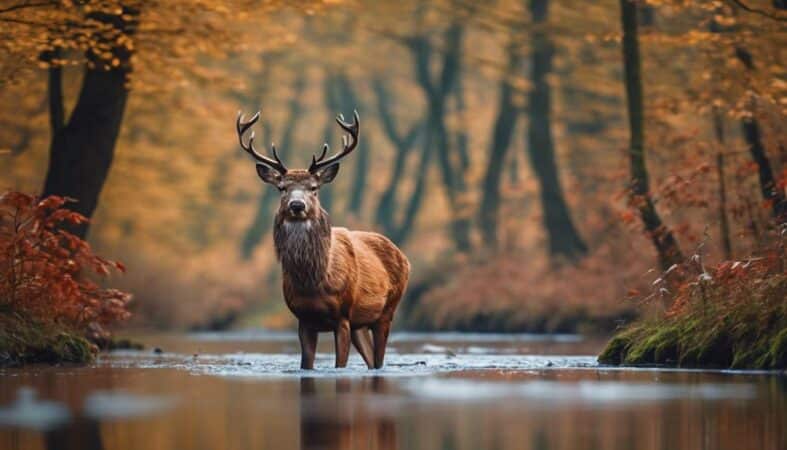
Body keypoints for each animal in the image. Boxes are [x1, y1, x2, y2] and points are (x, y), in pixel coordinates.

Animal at [237, 109, 412, 370]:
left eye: (314, 188)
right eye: (281, 188)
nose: (296, 205)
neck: (313, 282)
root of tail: (404, 256)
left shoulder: (343, 315)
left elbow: (340, 365)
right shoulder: (303, 318)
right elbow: (306, 364)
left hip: (387, 310)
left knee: (379, 359)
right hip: (360, 323)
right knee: (371, 359)